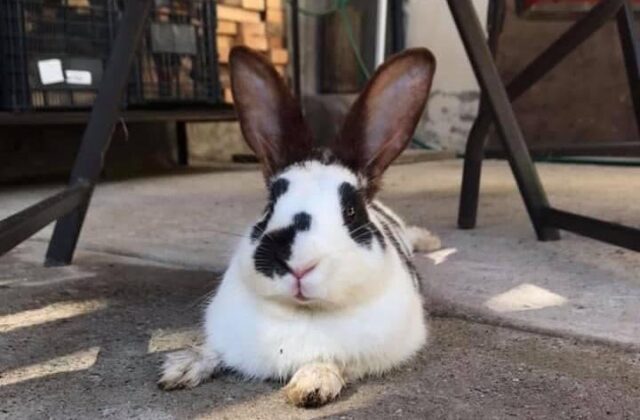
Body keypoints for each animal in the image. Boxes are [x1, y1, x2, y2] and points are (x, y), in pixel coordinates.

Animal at [158, 46, 440, 407]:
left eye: (351, 211)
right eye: (269, 206)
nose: (297, 265)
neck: (302, 313)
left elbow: (334, 362)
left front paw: (312, 384)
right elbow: (215, 349)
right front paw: (182, 366)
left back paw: (430, 240)